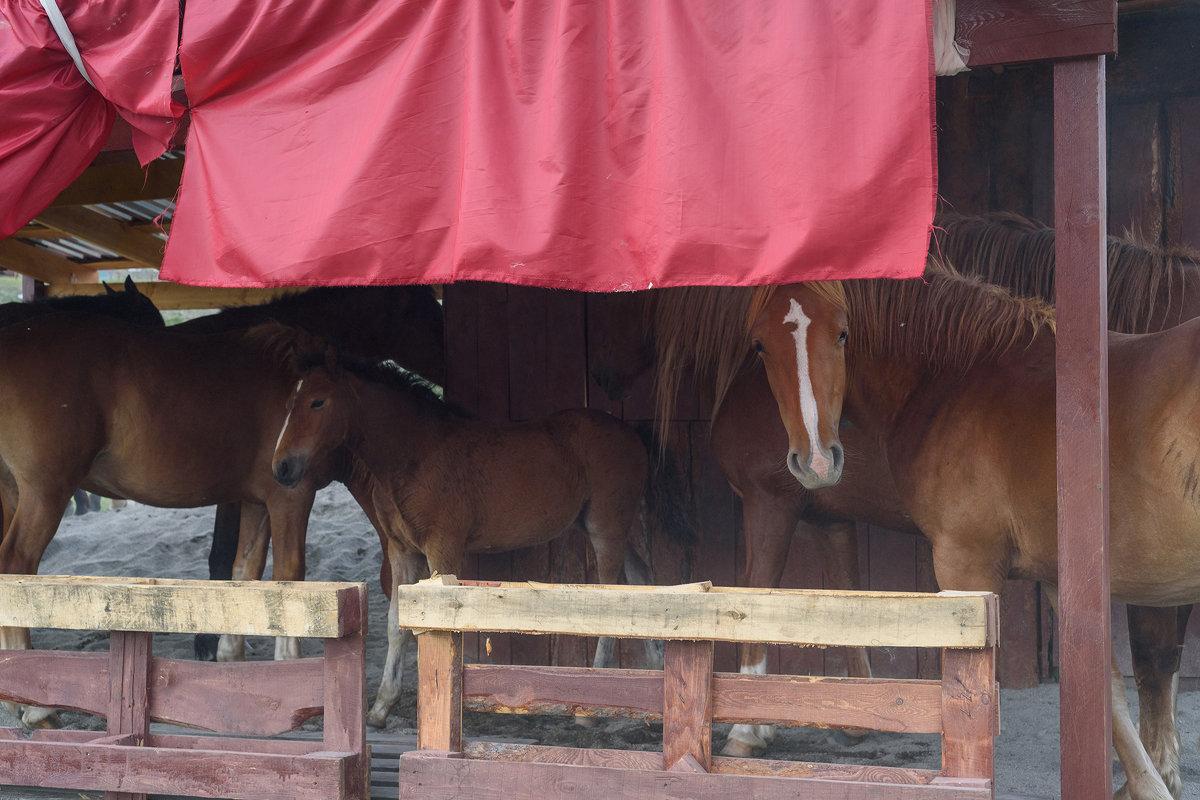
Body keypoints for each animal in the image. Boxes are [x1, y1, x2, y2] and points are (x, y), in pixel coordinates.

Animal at [270, 352, 657, 729]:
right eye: (288, 403)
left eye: (318, 402)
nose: (281, 468)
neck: (414, 454)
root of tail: (632, 435)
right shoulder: (402, 551)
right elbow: (396, 624)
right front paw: (381, 708)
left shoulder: (442, 549)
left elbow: (437, 624)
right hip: (613, 529)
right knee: (644, 580)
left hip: (606, 529)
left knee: (615, 597)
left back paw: (590, 711)